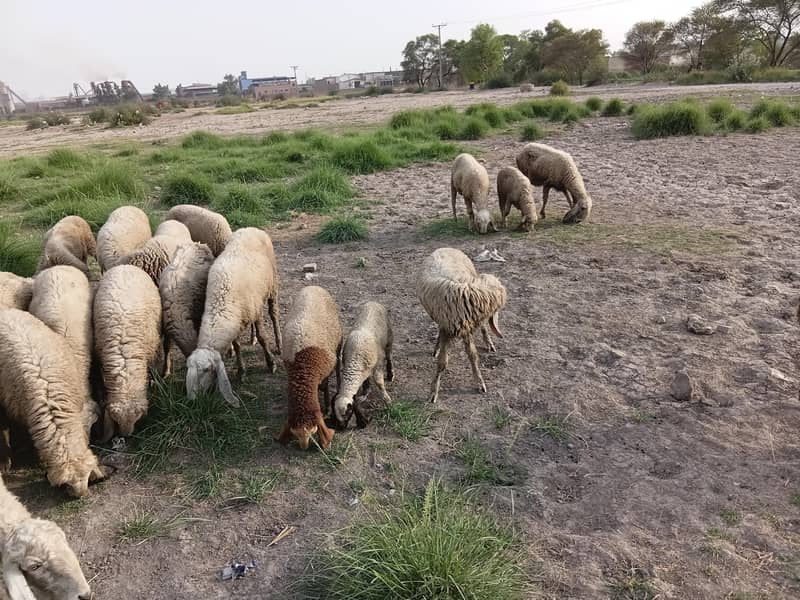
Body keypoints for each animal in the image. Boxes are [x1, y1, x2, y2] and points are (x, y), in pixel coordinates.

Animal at [186, 227, 282, 407]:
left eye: (206, 370)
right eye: (188, 368)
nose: (192, 401)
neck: (220, 301)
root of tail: (251, 228)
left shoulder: (257, 312)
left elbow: (263, 337)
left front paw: (271, 363)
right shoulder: (236, 321)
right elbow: (237, 346)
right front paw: (241, 371)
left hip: (272, 285)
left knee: (274, 314)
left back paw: (279, 343)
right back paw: (251, 339)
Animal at [276, 286, 342, 450]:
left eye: (313, 432)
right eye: (295, 434)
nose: (304, 447)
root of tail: (313, 286)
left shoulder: (325, 368)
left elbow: (325, 387)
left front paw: (327, 408)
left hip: (339, 340)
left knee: (338, 364)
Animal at [417, 247, 507, 403]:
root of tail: (446, 247)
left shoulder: (466, 328)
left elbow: (473, 356)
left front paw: (479, 382)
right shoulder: (448, 327)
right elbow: (442, 363)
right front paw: (433, 391)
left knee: (483, 327)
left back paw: (488, 342)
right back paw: (436, 347)